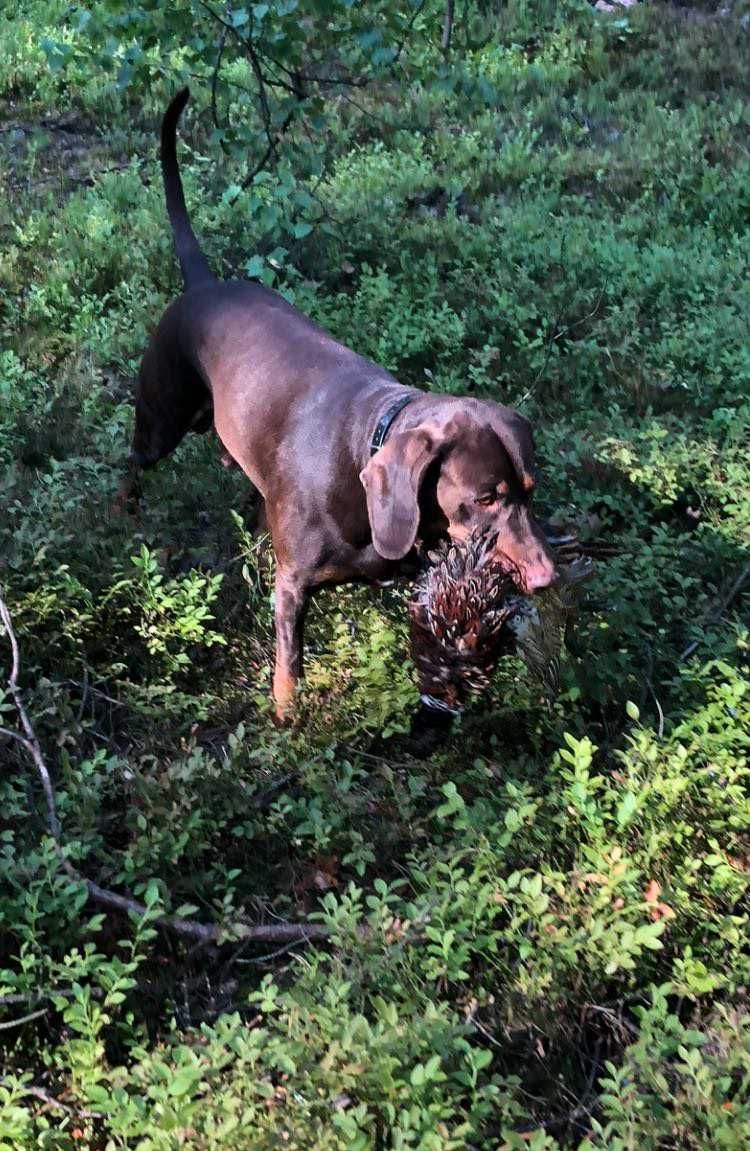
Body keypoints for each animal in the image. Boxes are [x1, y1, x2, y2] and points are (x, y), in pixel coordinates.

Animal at [124, 89, 556, 713]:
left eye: (530, 490)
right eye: (484, 499)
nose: (547, 578)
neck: (362, 453)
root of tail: (203, 285)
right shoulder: (292, 586)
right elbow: (289, 664)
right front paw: (287, 716)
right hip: (160, 420)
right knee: (134, 463)